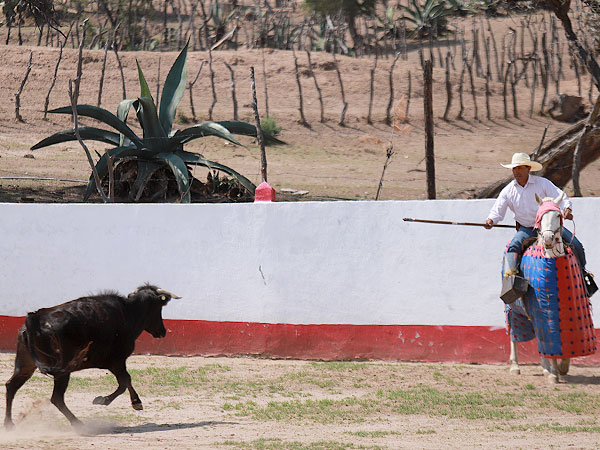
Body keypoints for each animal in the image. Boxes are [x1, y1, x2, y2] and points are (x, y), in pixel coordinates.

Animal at [3, 284, 180, 428]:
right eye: (158, 309)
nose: (162, 331)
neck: (129, 313)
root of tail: (33, 320)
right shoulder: (117, 361)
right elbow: (125, 381)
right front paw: (111, 401)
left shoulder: (114, 363)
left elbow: (126, 381)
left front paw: (132, 402)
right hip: (62, 371)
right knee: (56, 398)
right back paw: (78, 423)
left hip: (25, 365)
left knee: (11, 386)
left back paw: (8, 424)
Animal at [506, 192, 596, 384]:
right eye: (539, 217)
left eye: (558, 215)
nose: (548, 239)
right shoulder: (542, 312)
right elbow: (548, 340)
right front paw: (554, 373)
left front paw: (562, 368)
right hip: (512, 309)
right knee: (514, 334)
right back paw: (516, 366)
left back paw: (545, 367)